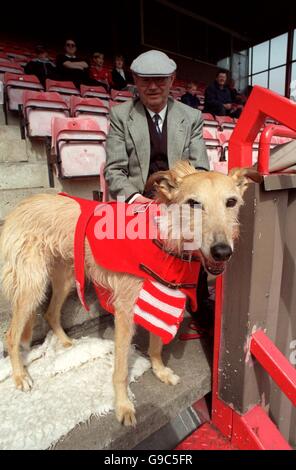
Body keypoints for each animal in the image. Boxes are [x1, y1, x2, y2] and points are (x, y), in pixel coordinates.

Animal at [0, 162, 260, 426]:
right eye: (193, 203)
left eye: (231, 202)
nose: (222, 252)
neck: (165, 238)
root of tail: (21, 205)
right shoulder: (125, 311)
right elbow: (121, 369)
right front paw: (123, 405)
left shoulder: (161, 298)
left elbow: (156, 345)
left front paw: (160, 371)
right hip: (32, 286)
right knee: (10, 335)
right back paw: (20, 376)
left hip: (65, 278)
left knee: (51, 313)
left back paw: (65, 343)